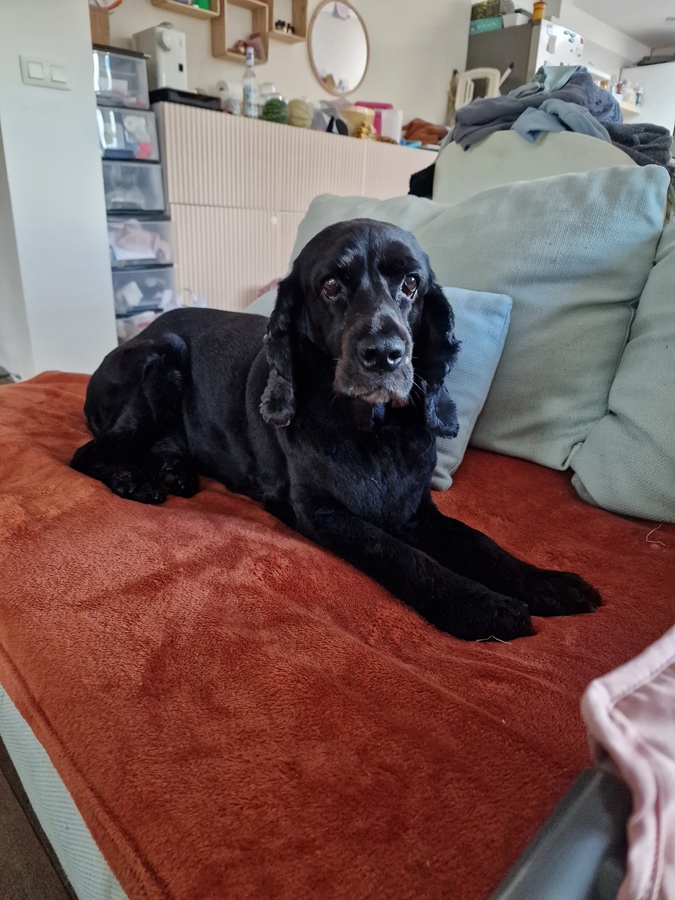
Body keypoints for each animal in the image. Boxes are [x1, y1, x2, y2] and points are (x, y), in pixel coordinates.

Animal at [72, 219, 600, 640]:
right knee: (86, 453)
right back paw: (134, 479)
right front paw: (481, 605)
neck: (375, 433)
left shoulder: (415, 507)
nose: (385, 354)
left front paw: (547, 583)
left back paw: (174, 472)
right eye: (329, 285)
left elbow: (478, 541)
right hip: (163, 355)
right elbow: (399, 554)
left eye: (412, 283)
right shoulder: (323, 511)